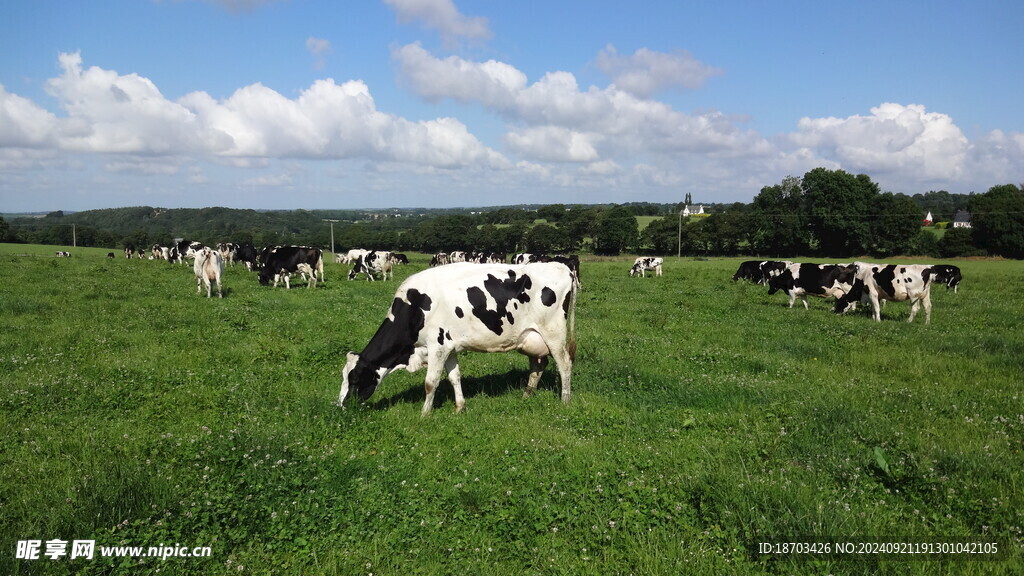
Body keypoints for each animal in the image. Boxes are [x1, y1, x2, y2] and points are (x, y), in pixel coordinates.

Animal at [339, 262, 581, 414]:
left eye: (355, 378)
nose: (341, 405)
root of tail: (562, 266)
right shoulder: (449, 347)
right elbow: (454, 377)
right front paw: (459, 407)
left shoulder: (437, 346)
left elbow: (430, 382)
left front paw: (424, 414)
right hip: (531, 338)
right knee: (538, 365)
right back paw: (527, 395)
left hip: (554, 334)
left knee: (564, 365)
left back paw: (565, 400)